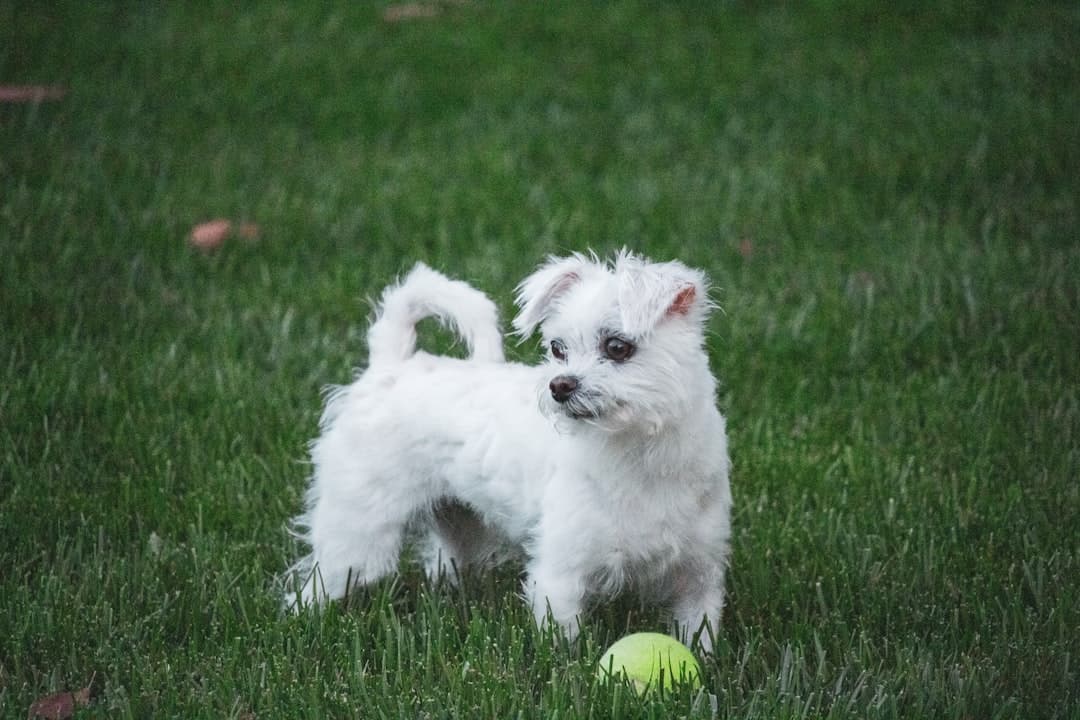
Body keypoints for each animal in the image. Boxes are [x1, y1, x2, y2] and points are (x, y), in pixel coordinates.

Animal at [285, 250, 734, 651]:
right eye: (557, 348)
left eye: (618, 347)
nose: (559, 385)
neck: (640, 455)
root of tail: (390, 365)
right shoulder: (559, 574)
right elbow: (563, 644)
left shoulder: (699, 576)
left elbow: (698, 634)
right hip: (358, 531)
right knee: (318, 583)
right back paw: (305, 620)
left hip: (460, 525)